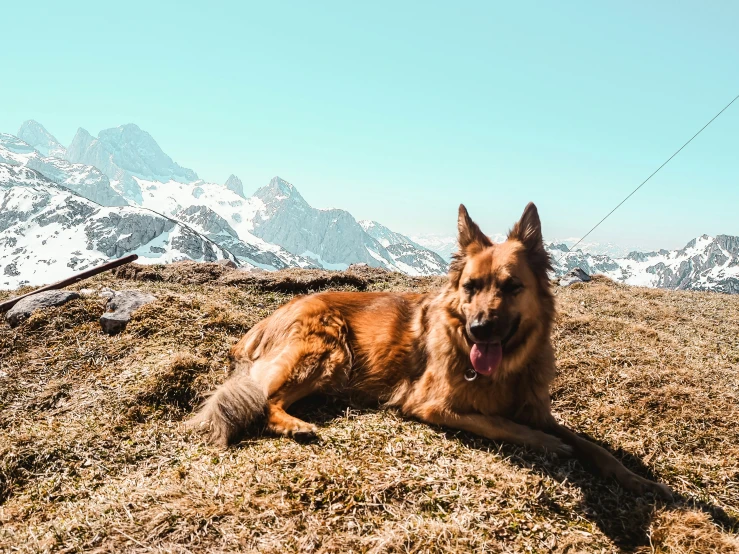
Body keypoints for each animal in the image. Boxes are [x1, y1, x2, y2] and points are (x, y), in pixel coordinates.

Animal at [189, 202, 672, 496]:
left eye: (511, 287)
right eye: (470, 287)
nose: (479, 329)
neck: (504, 371)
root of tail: (265, 321)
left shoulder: (537, 409)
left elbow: (595, 448)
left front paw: (641, 482)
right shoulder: (430, 405)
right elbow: (499, 423)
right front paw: (546, 445)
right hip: (329, 353)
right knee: (266, 400)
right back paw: (295, 425)